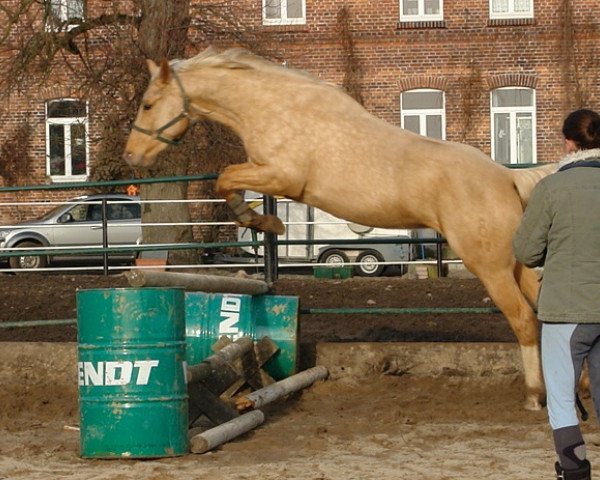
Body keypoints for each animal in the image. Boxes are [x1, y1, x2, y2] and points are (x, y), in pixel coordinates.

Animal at [123, 47, 556, 410]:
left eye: (147, 104)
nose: (132, 156)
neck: (273, 109)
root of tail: (506, 178)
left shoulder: (281, 176)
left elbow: (225, 178)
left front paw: (262, 220)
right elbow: (227, 181)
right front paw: (261, 221)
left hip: (490, 265)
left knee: (523, 318)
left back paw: (535, 397)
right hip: (516, 264)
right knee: (543, 313)